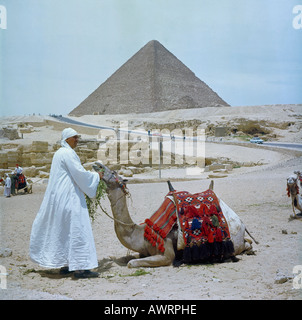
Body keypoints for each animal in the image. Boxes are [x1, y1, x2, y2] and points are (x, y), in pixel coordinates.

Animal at [96, 162, 255, 268]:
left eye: (113, 173)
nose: (98, 165)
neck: (141, 233)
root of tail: (242, 223)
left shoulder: (166, 253)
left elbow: (131, 262)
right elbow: (128, 257)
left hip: (234, 242)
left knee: (243, 245)